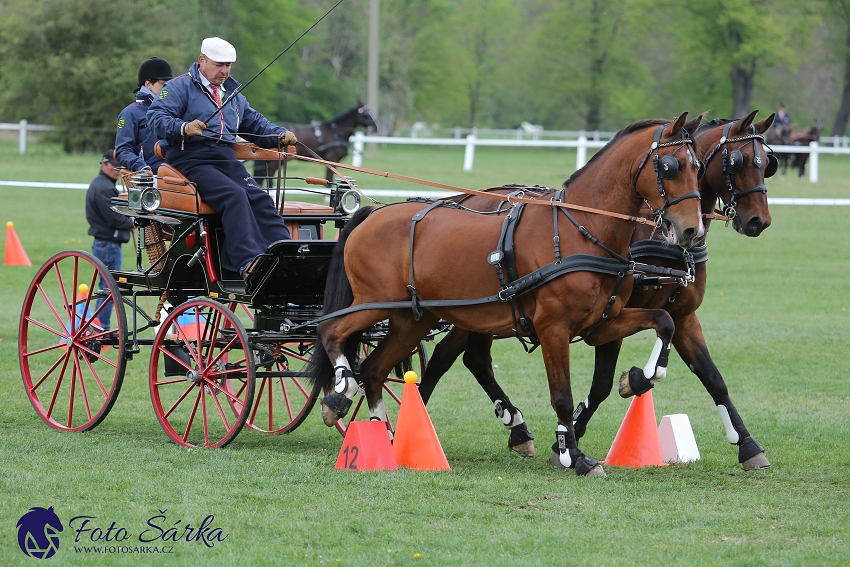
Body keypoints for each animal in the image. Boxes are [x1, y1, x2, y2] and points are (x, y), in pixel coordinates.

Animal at [304, 111, 704, 474]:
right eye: (669, 166)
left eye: (698, 165)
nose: (691, 230)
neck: (580, 231)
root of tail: (372, 213)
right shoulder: (553, 328)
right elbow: (562, 395)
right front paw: (574, 455)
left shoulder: (603, 323)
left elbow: (664, 321)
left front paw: (643, 375)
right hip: (373, 303)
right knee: (331, 331)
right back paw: (341, 392)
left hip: (412, 319)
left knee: (374, 370)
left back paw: (382, 436)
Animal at [418, 110, 776, 470]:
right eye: (737, 161)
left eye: (766, 163)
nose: (758, 221)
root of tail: (467, 197)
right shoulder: (608, 320)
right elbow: (603, 384)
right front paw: (580, 428)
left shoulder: (683, 317)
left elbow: (712, 377)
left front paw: (747, 444)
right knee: (450, 357)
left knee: (472, 358)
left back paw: (512, 427)